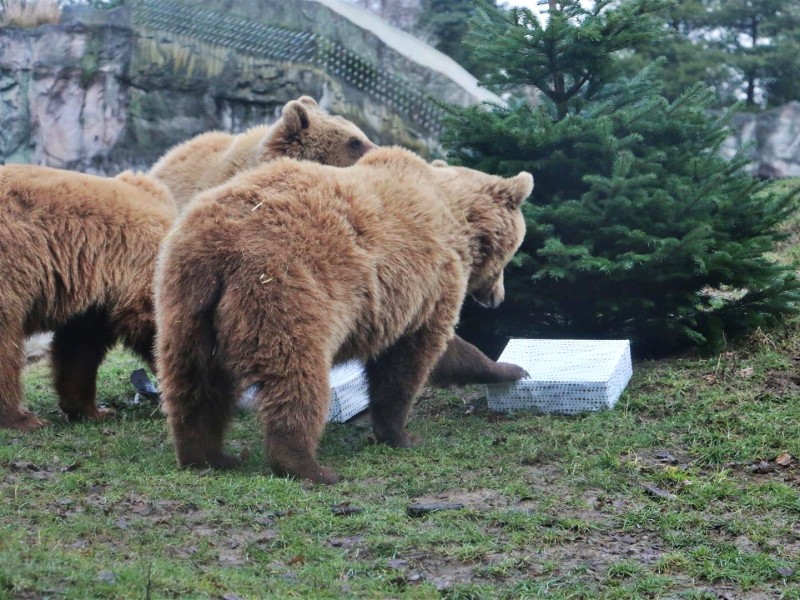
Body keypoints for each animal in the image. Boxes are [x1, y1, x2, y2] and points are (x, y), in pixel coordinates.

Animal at [155, 148, 532, 486]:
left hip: (185, 307)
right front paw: (402, 434)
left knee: (193, 385)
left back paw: (208, 456)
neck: (457, 220)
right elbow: (413, 359)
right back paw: (308, 466)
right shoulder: (428, 283)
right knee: (296, 377)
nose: (497, 299)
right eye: (512, 253)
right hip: (285, 291)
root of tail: (218, 249)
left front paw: (510, 368)